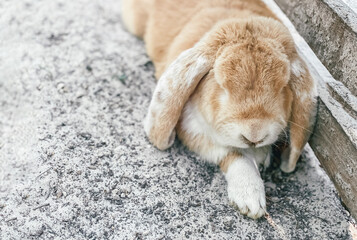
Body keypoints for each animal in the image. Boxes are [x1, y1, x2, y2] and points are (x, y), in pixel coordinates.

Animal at [121, 0, 316, 219]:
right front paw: (250, 199)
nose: (254, 135)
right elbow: (233, 154)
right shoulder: (190, 128)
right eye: (222, 86)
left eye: (283, 87)